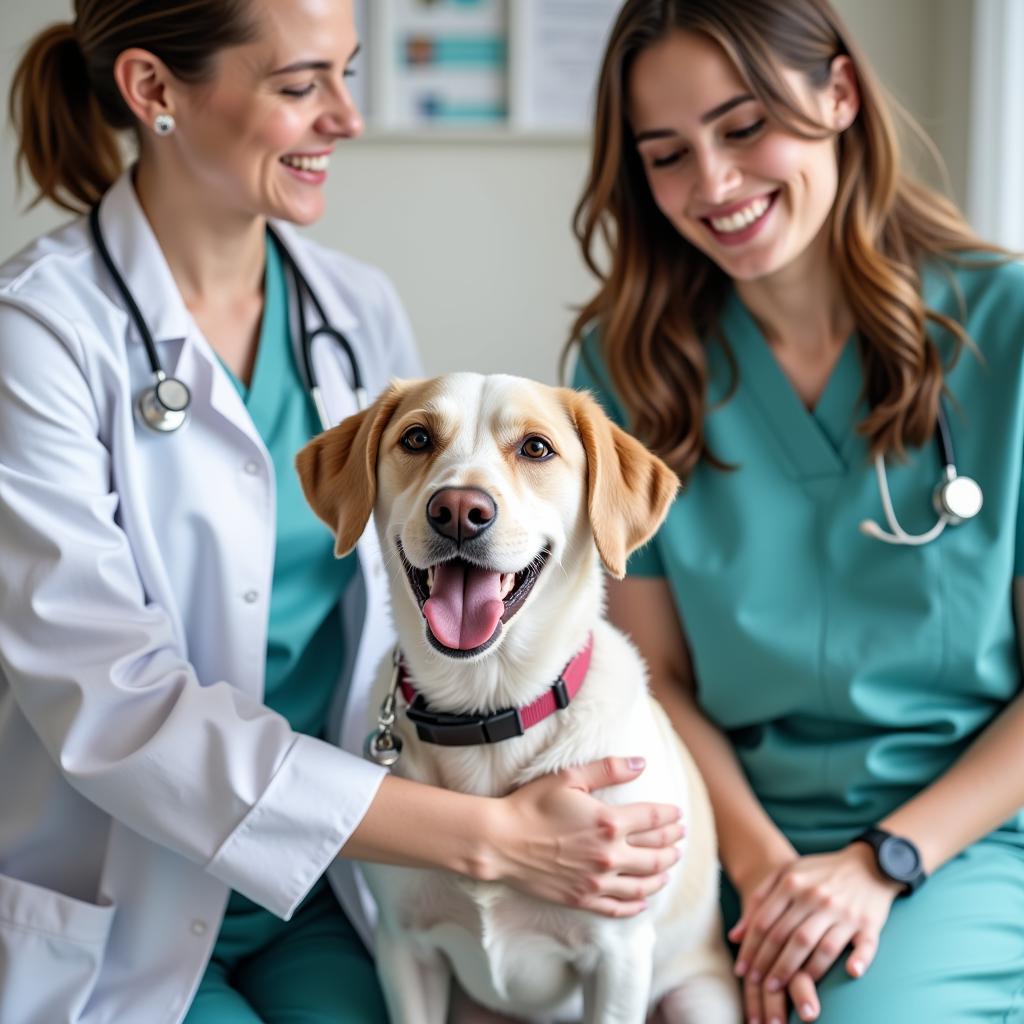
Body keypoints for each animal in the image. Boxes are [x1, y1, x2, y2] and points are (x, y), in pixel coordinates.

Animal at [296, 376, 737, 1024]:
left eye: (535, 448)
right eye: (417, 438)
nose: (458, 510)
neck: (486, 707)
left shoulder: (619, 957)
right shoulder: (404, 949)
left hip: (698, 998)